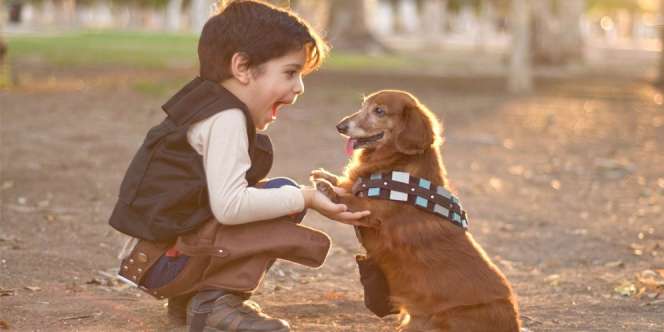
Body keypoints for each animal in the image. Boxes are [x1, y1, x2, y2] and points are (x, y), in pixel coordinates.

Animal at [314, 91, 520, 332]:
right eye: (363, 105)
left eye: (379, 111)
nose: (340, 126)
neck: (396, 166)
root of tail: (514, 324)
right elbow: (346, 184)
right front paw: (326, 176)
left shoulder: (372, 211)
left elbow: (349, 199)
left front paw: (327, 188)